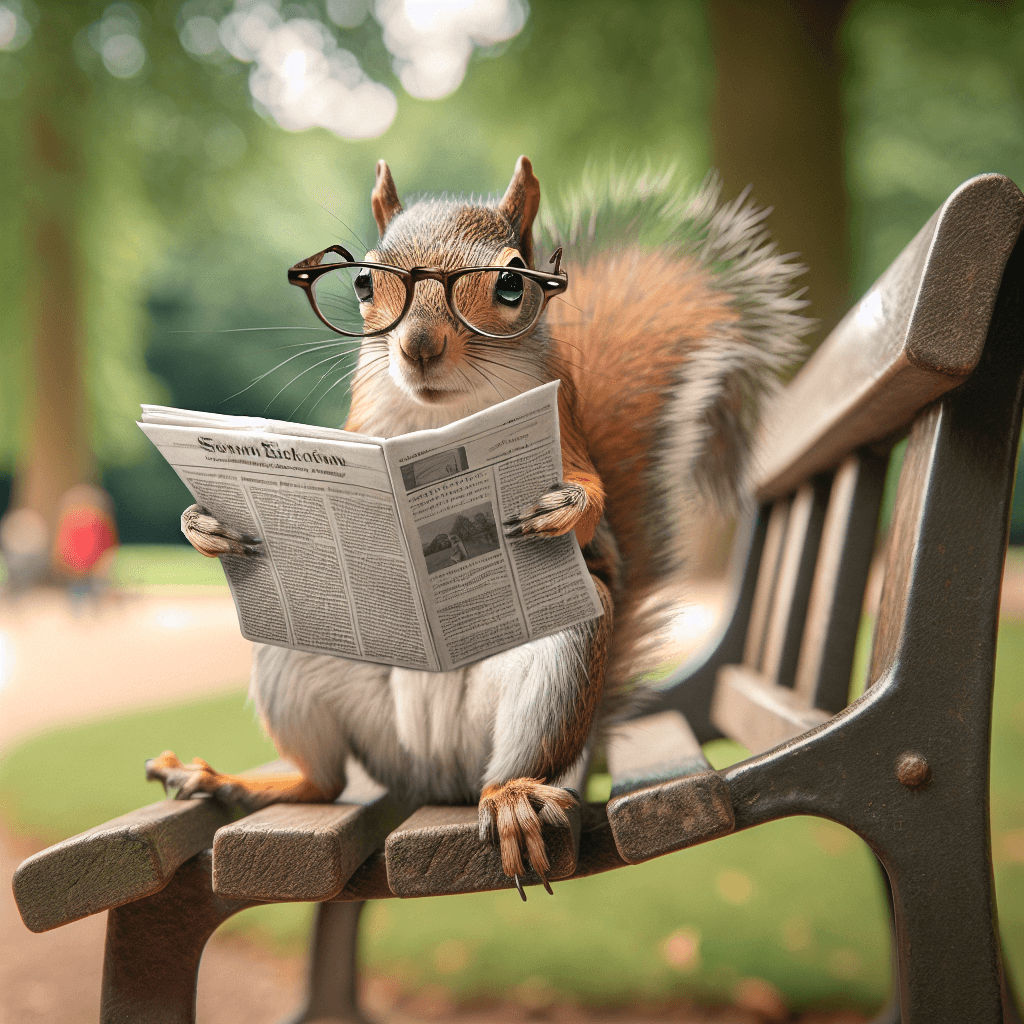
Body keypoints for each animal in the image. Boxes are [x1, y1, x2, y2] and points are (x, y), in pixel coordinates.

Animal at [149, 155, 806, 892]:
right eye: (362, 282)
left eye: (514, 281)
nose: (420, 347)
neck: (444, 412)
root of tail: (436, 779)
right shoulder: (363, 428)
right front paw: (205, 523)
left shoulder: (560, 427)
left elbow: (593, 501)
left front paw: (562, 511)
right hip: (306, 651)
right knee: (323, 781)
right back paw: (235, 782)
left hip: (557, 663)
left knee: (505, 762)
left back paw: (514, 797)